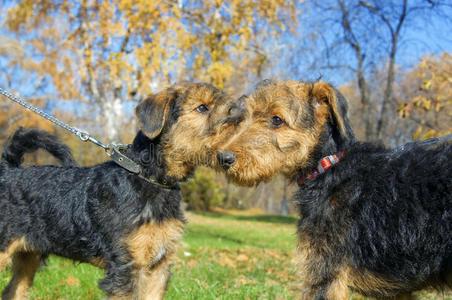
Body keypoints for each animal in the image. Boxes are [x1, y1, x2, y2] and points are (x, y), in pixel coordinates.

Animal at [0, 82, 240, 300]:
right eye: (202, 107)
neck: (148, 177)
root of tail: (8, 171)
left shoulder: (158, 267)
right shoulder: (127, 267)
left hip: (28, 255)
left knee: (13, 290)